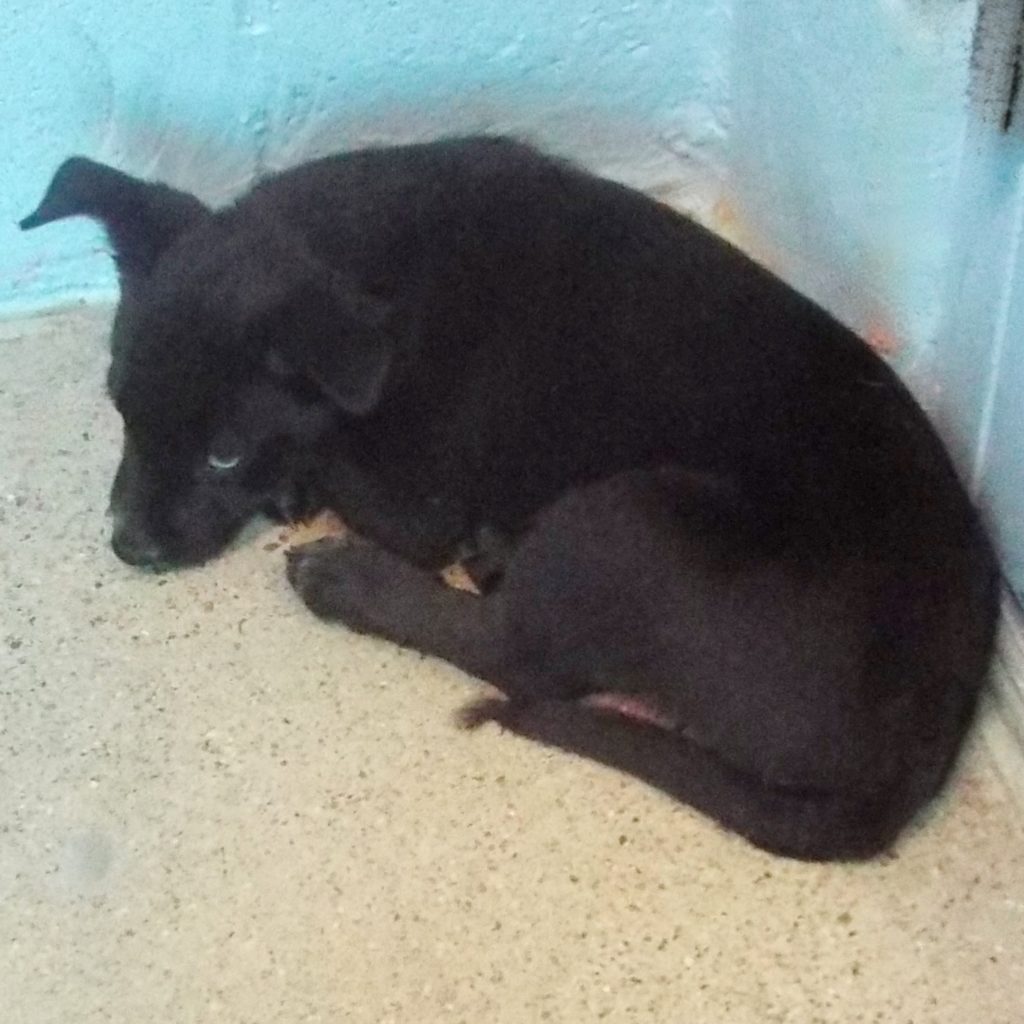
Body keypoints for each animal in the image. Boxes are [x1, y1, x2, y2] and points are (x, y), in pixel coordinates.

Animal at [21, 135, 998, 860]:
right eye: (120, 409)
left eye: (224, 455)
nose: (127, 545)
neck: (377, 274)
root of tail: (916, 760)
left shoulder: (419, 500)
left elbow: (338, 463)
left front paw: (301, 486)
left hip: (629, 521)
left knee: (516, 654)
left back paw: (355, 583)